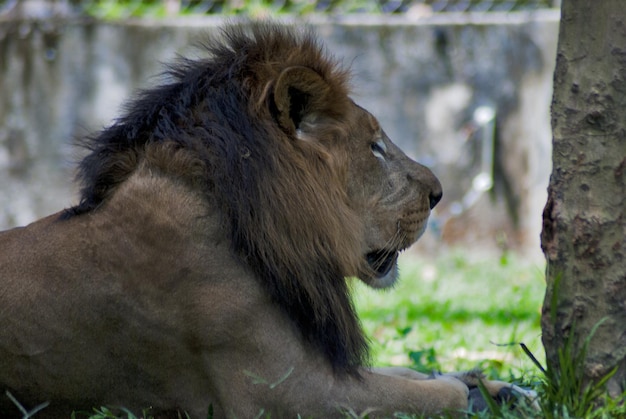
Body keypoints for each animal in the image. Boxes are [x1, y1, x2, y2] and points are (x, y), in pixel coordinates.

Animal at [0, 23, 532, 419]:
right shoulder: (290, 393)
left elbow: (415, 374)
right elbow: (430, 395)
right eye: (375, 146)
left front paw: (500, 387)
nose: (440, 194)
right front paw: (471, 392)